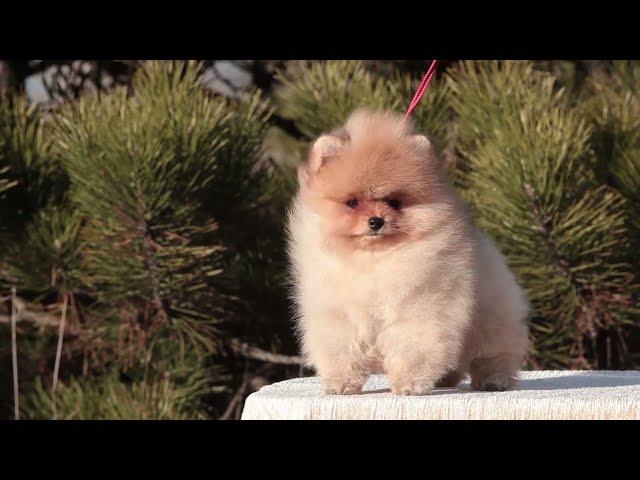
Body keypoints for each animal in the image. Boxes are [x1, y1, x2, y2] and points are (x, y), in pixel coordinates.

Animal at [288, 110, 528, 396]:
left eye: (394, 202)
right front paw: (341, 383)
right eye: (352, 203)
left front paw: (410, 383)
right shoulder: (338, 312)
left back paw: (494, 380)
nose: (376, 221)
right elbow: (342, 348)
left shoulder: (419, 306)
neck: (373, 260)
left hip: (491, 317)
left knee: (492, 354)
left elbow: (413, 346)